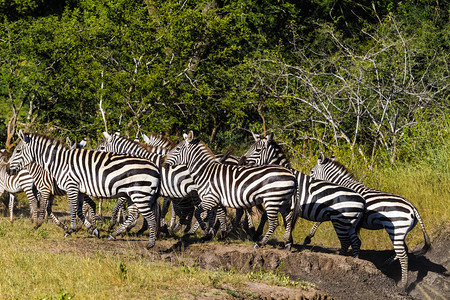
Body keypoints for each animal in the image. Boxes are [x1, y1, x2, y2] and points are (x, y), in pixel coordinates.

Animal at [7, 131, 161, 248]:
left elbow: (70, 208)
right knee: (134, 215)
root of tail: (156, 168)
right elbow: (79, 210)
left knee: (151, 217)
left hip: (139, 194)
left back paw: (150, 244)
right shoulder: (79, 190)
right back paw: (113, 235)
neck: (59, 163)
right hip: (132, 195)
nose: (8, 170)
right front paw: (91, 229)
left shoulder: (70, 186)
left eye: (18, 151)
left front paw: (69, 229)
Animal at [163, 130, 298, 247]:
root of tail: (292, 175)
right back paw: (287, 243)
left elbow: (199, 213)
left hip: (272, 200)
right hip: (282, 202)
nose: (163, 163)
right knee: (288, 218)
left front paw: (206, 230)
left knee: (274, 223)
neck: (205, 171)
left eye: (178, 149)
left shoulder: (210, 198)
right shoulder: (215, 200)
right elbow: (214, 216)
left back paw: (260, 243)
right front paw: (211, 234)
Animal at [310, 154, 432, 290]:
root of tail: (413, 207)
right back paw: (385, 264)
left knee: (403, 255)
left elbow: (319, 221)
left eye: (311, 172)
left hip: (396, 229)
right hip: (398, 232)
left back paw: (403, 285)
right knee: (402, 250)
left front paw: (309, 236)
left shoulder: (340, 208)